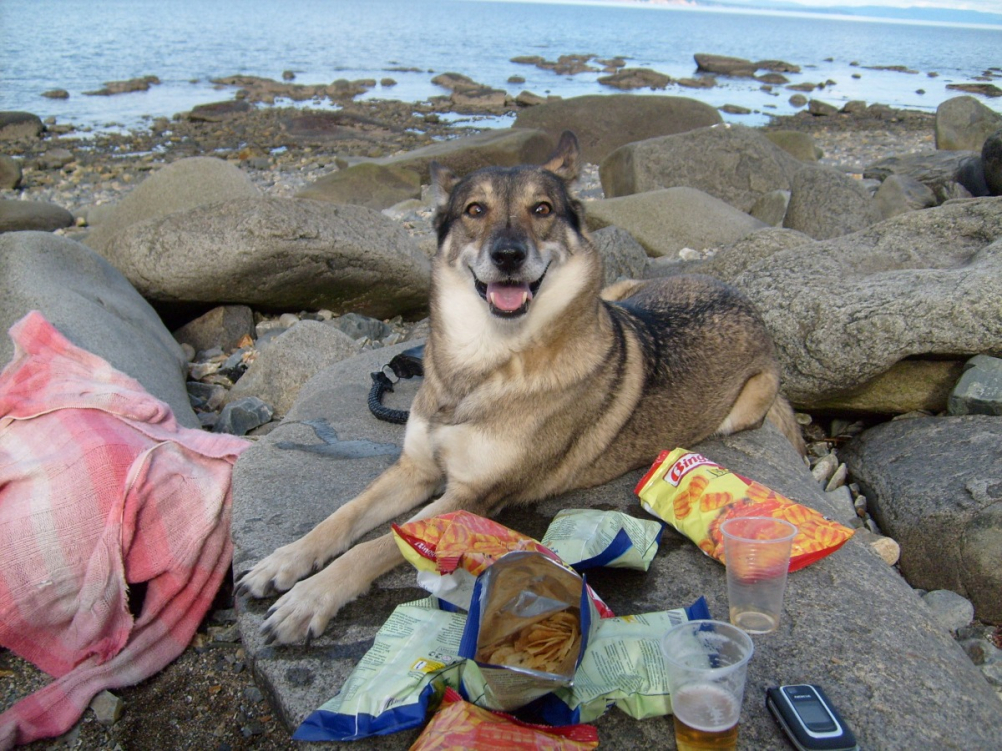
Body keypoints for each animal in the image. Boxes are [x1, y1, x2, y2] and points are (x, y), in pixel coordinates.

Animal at [237, 131, 805, 644]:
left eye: (542, 208)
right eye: (474, 210)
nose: (508, 255)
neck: (481, 364)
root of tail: (739, 294)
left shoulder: (470, 496)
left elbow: (369, 547)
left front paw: (310, 598)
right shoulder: (414, 469)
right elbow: (341, 518)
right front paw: (284, 562)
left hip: (743, 406)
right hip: (621, 289)